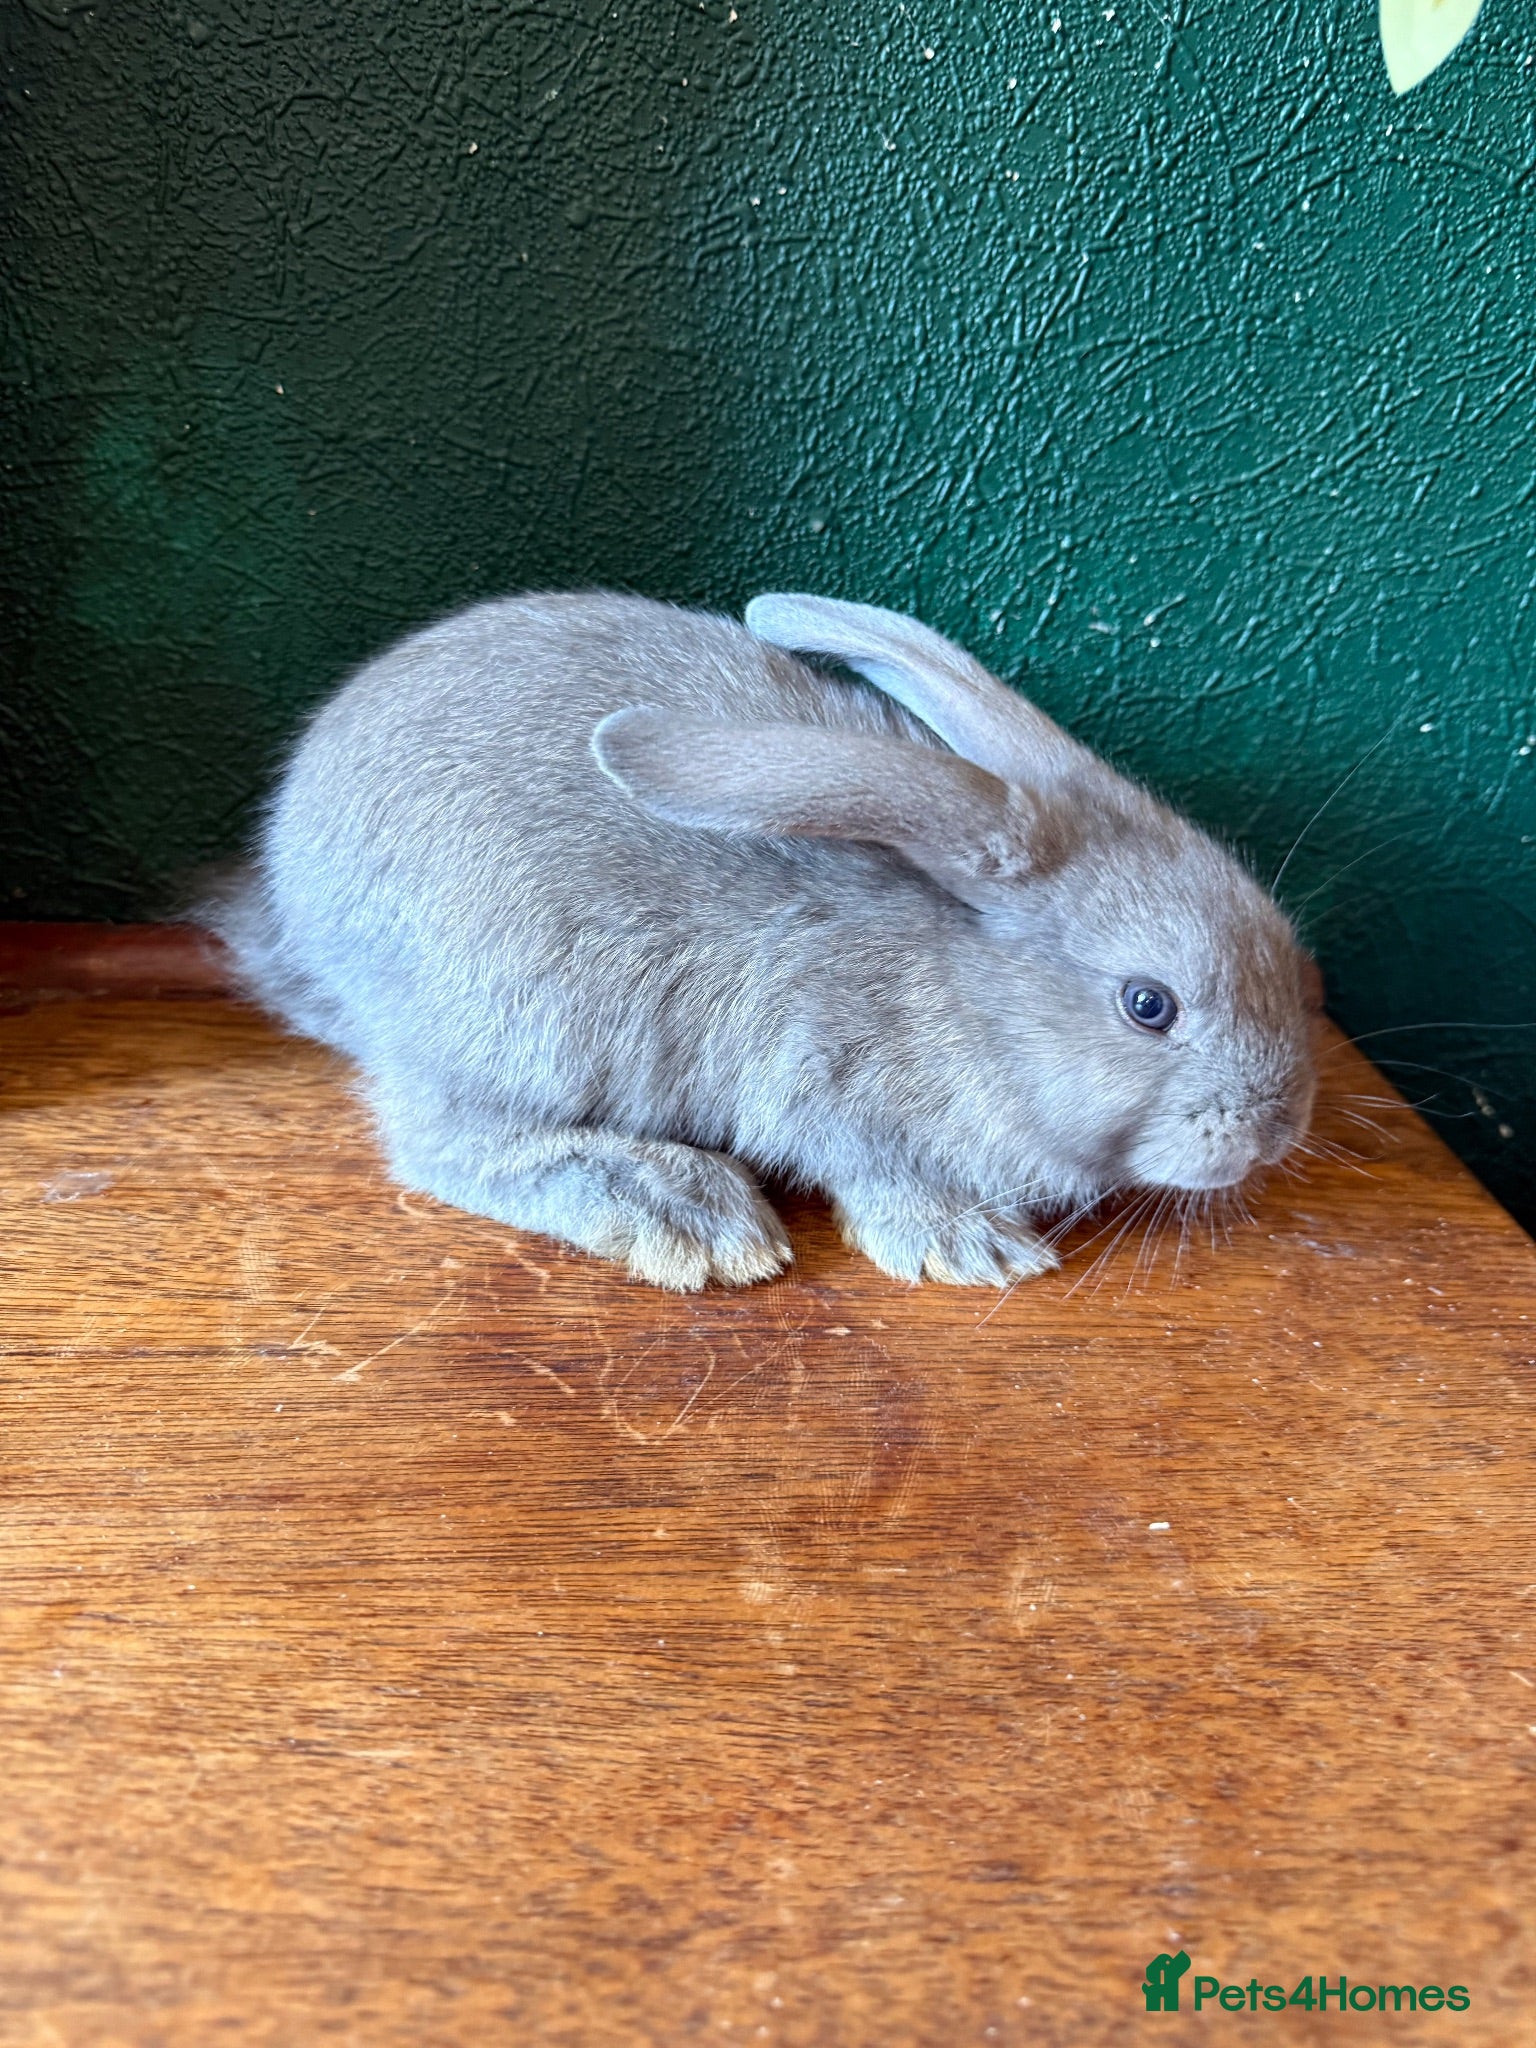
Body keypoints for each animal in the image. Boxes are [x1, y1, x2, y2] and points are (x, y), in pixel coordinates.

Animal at [208, 589, 1320, 1291]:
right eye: (1149, 1004)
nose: (1278, 1127)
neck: (967, 997)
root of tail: (294, 899)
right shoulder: (830, 1090)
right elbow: (879, 1174)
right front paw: (971, 1245)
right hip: (519, 1021)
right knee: (442, 1140)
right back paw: (680, 1210)